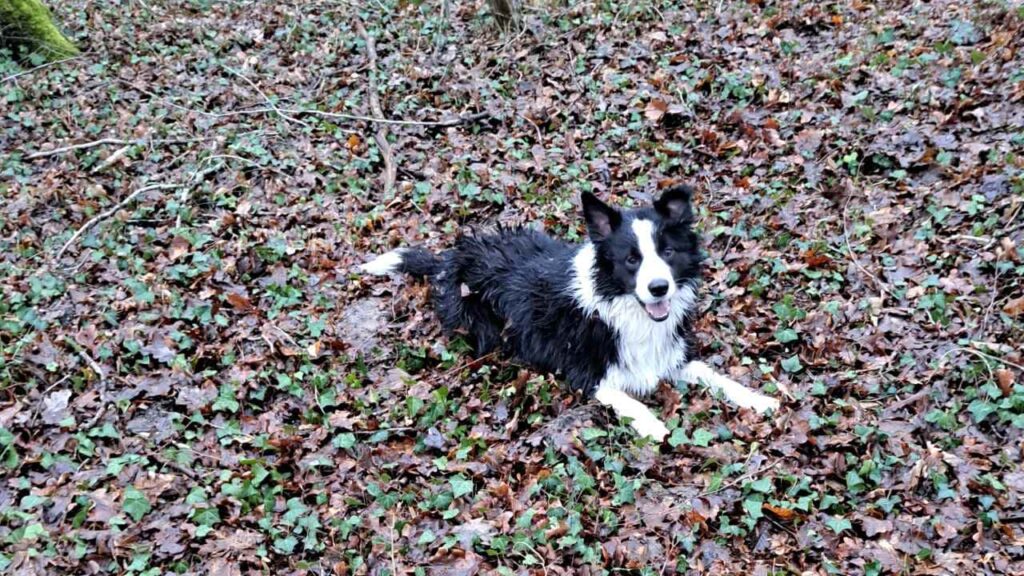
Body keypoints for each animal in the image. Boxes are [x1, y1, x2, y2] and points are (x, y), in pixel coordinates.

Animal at [358, 186, 774, 436]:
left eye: (667, 253)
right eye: (631, 260)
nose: (659, 287)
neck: (624, 309)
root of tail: (451, 256)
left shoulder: (669, 355)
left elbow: (714, 375)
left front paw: (759, 399)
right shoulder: (583, 371)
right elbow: (626, 398)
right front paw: (654, 425)